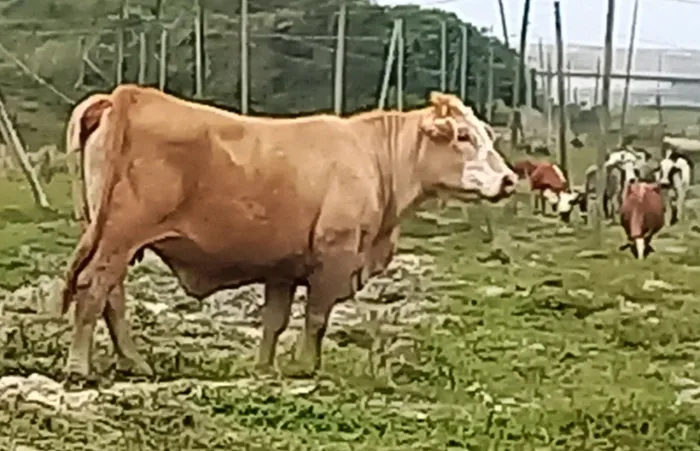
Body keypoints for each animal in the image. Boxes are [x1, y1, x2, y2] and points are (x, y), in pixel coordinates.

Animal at [59, 85, 518, 382]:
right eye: (463, 135)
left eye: (486, 134)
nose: (510, 180)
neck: (372, 157)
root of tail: (126, 95)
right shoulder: (336, 253)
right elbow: (316, 316)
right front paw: (304, 367)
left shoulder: (281, 265)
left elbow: (274, 321)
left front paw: (266, 369)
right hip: (120, 236)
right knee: (94, 289)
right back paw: (79, 367)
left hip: (106, 234)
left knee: (111, 296)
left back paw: (132, 363)